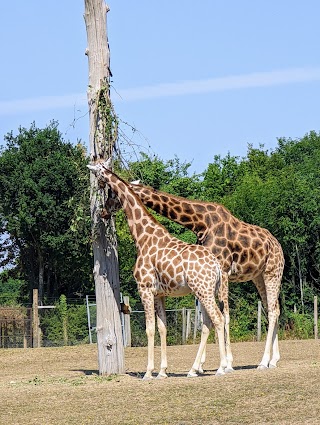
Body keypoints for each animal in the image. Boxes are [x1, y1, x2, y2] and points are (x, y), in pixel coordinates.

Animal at [87, 161, 228, 380]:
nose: (103, 212)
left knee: (218, 319)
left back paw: (221, 367)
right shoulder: (160, 293)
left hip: (203, 291)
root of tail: (216, 266)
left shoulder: (144, 288)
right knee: (207, 324)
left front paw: (148, 372)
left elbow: (150, 329)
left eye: (110, 193)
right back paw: (193, 369)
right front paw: (162, 371)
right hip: (205, 291)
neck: (142, 237)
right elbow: (163, 328)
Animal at [129, 182, 284, 372]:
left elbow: (224, 316)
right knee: (274, 308)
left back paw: (263, 361)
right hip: (259, 277)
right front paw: (202, 365)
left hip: (273, 272)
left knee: (272, 311)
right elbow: (205, 317)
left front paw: (228, 364)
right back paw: (273, 360)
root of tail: (277, 244)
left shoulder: (223, 270)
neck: (200, 223)